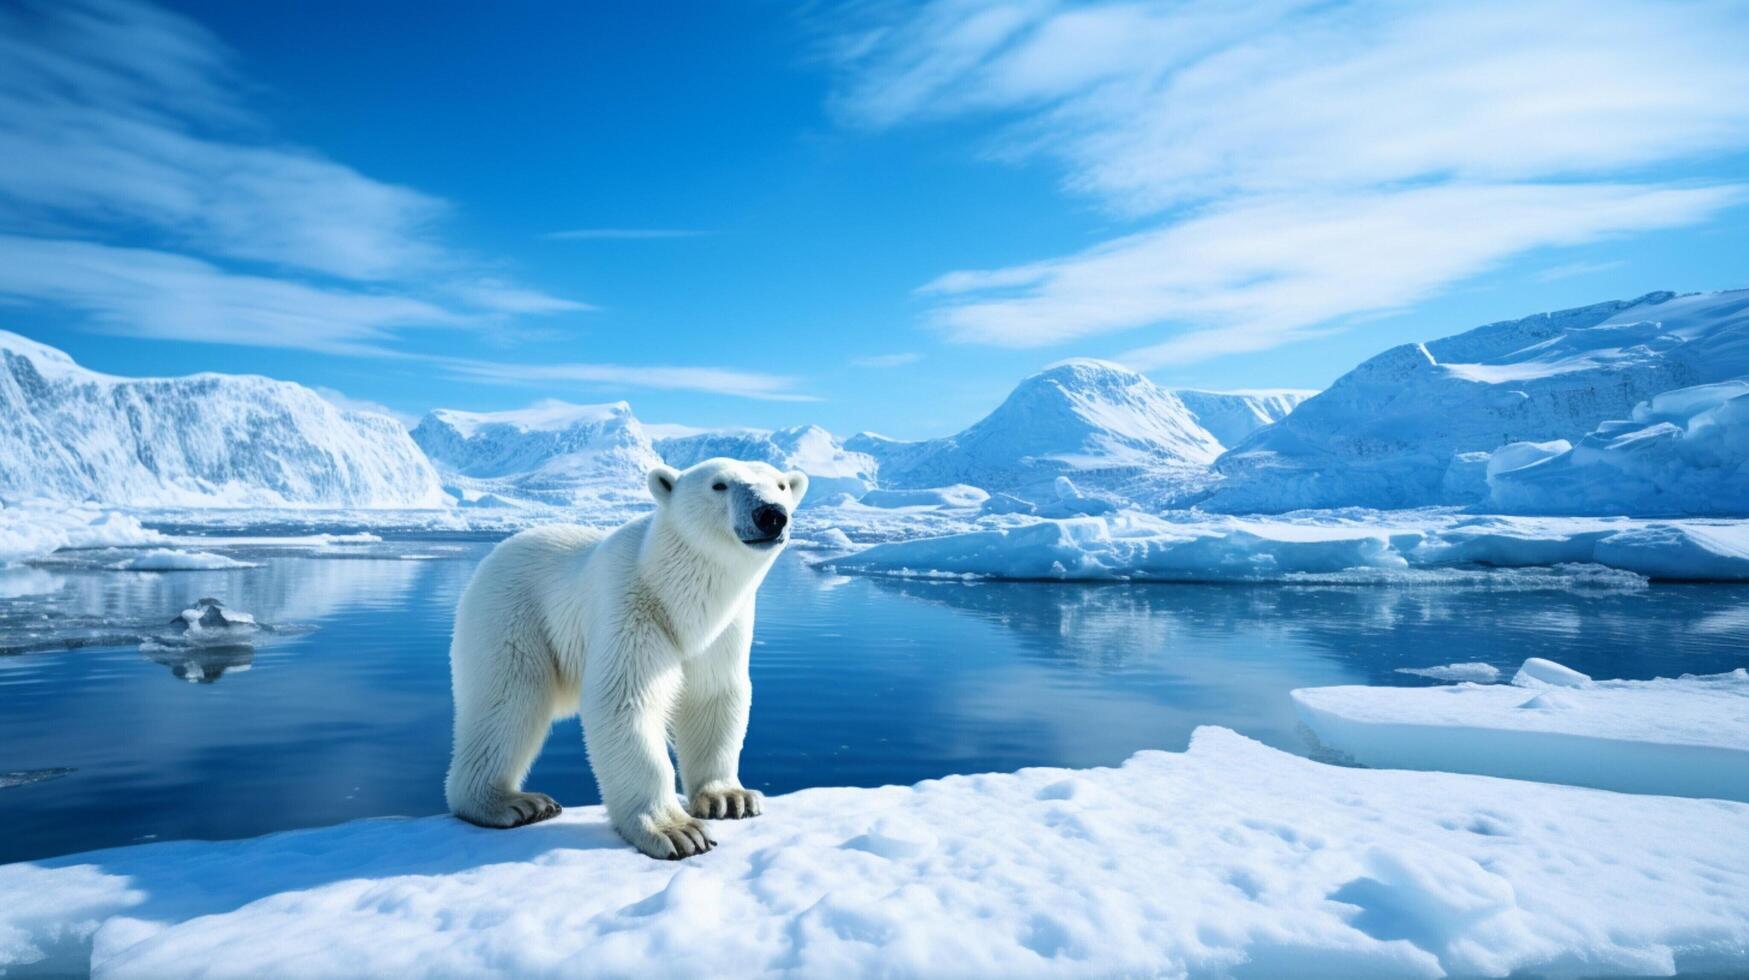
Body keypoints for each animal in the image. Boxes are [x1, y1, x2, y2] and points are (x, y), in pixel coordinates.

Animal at [447, 458, 808, 857]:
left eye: (781, 486)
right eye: (719, 485)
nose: (771, 514)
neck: (674, 592)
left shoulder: (723, 631)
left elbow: (713, 694)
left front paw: (729, 799)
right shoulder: (631, 607)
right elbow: (625, 701)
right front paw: (677, 831)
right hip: (510, 616)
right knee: (507, 702)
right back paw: (511, 802)